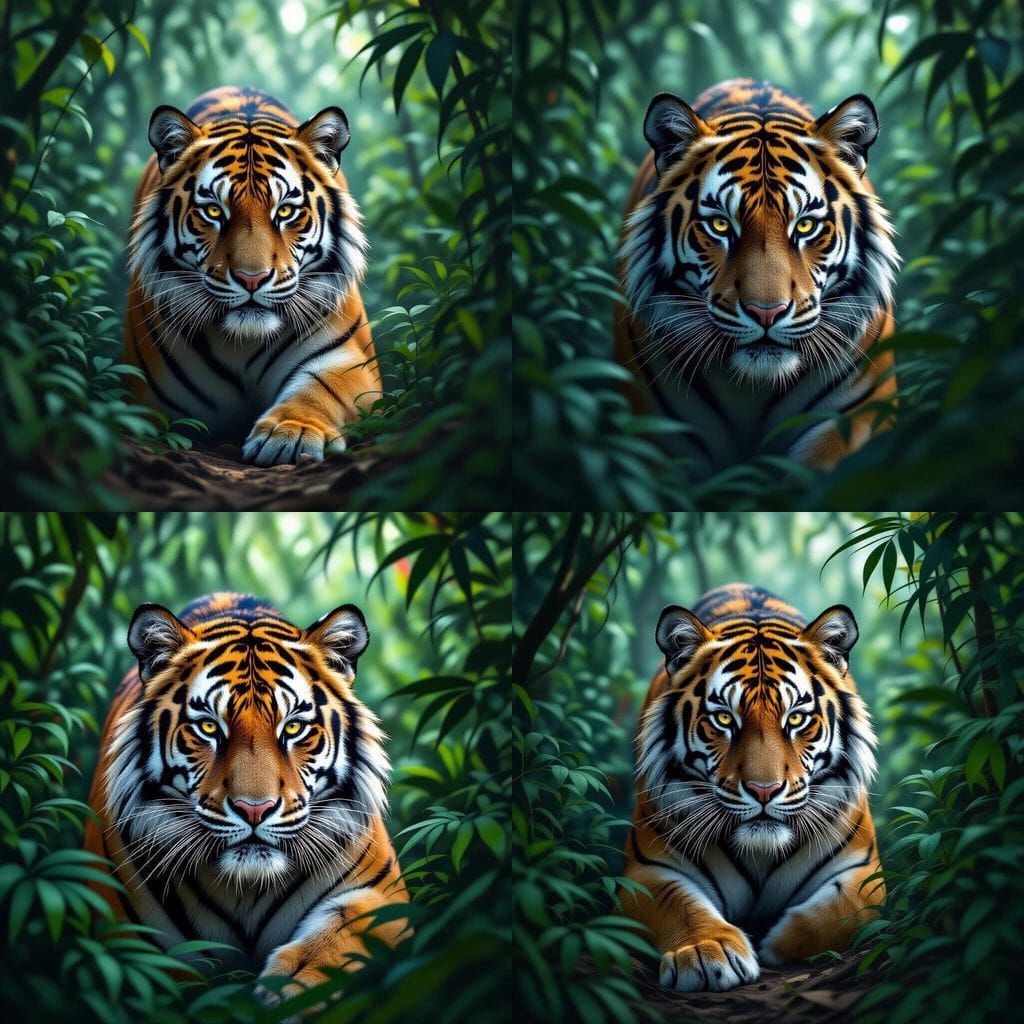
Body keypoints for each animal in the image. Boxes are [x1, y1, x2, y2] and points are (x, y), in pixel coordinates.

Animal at [83, 592, 409, 996]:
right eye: (209, 727)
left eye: (294, 728)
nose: (255, 809)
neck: (246, 887)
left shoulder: (385, 897)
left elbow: (342, 937)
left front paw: (290, 988)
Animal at [125, 86, 379, 466]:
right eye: (214, 211)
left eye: (285, 211)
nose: (251, 279)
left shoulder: (352, 361)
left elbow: (324, 389)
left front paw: (291, 433)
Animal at [620, 583, 883, 992]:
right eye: (725, 719)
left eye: (797, 718)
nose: (764, 791)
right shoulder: (646, 870)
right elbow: (677, 904)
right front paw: (705, 952)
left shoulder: (864, 871)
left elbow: (843, 912)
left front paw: (774, 942)